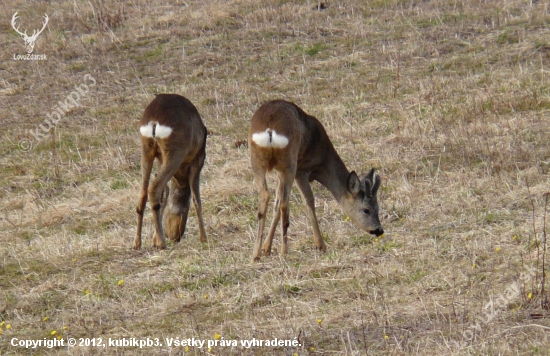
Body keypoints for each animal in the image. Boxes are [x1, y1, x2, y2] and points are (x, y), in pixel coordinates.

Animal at [135, 94, 209, 250]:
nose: (175, 237)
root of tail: (154, 121)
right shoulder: (197, 160)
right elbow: (196, 198)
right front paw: (204, 238)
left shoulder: (160, 159)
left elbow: (166, 192)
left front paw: (154, 240)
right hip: (175, 151)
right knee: (154, 188)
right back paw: (162, 244)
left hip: (147, 149)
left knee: (144, 192)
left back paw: (137, 243)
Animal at [250, 100, 384, 262]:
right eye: (366, 210)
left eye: (378, 207)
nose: (379, 230)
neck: (322, 159)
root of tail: (270, 130)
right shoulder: (301, 170)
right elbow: (309, 201)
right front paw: (320, 245)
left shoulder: (279, 171)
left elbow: (276, 203)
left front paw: (266, 248)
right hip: (290, 161)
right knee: (284, 203)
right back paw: (284, 252)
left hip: (258, 159)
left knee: (265, 196)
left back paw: (255, 255)